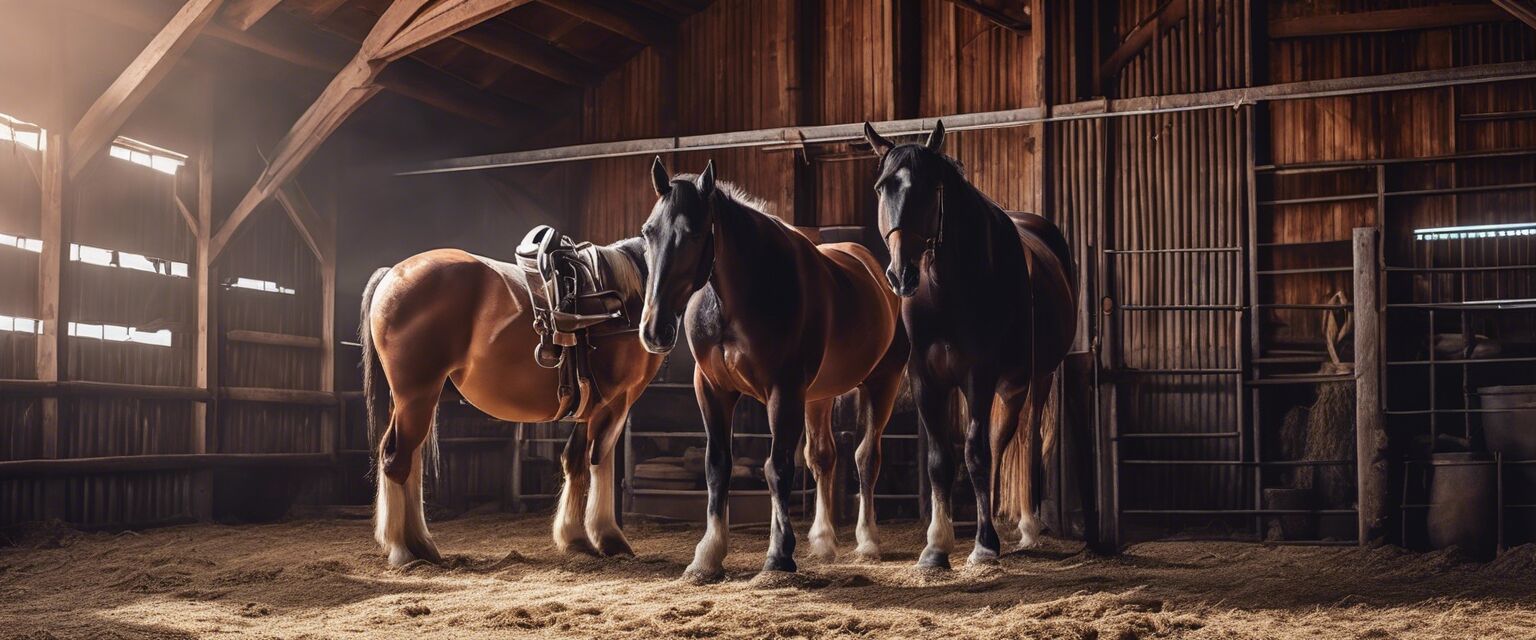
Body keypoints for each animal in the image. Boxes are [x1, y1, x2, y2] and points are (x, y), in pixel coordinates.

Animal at [359, 239, 660, 564]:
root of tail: (392, 274)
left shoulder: (591, 407)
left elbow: (576, 461)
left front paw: (576, 537)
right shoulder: (615, 403)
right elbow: (599, 461)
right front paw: (608, 537)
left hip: (411, 402)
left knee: (408, 460)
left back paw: (421, 544)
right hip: (416, 397)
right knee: (396, 460)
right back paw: (403, 551)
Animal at [638, 159, 909, 577]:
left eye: (694, 233)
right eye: (648, 232)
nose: (654, 329)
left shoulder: (784, 390)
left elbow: (778, 466)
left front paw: (779, 555)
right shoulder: (712, 389)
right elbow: (718, 466)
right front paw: (708, 555)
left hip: (882, 384)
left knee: (866, 458)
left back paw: (867, 542)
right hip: (818, 397)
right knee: (822, 456)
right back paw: (824, 541)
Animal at [866, 121, 1093, 567]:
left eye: (931, 187)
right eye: (883, 187)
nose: (901, 274)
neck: (946, 290)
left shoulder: (980, 375)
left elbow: (977, 452)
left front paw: (985, 544)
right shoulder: (925, 379)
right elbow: (940, 459)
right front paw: (936, 546)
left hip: (1033, 378)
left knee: (1018, 440)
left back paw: (1026, 528)